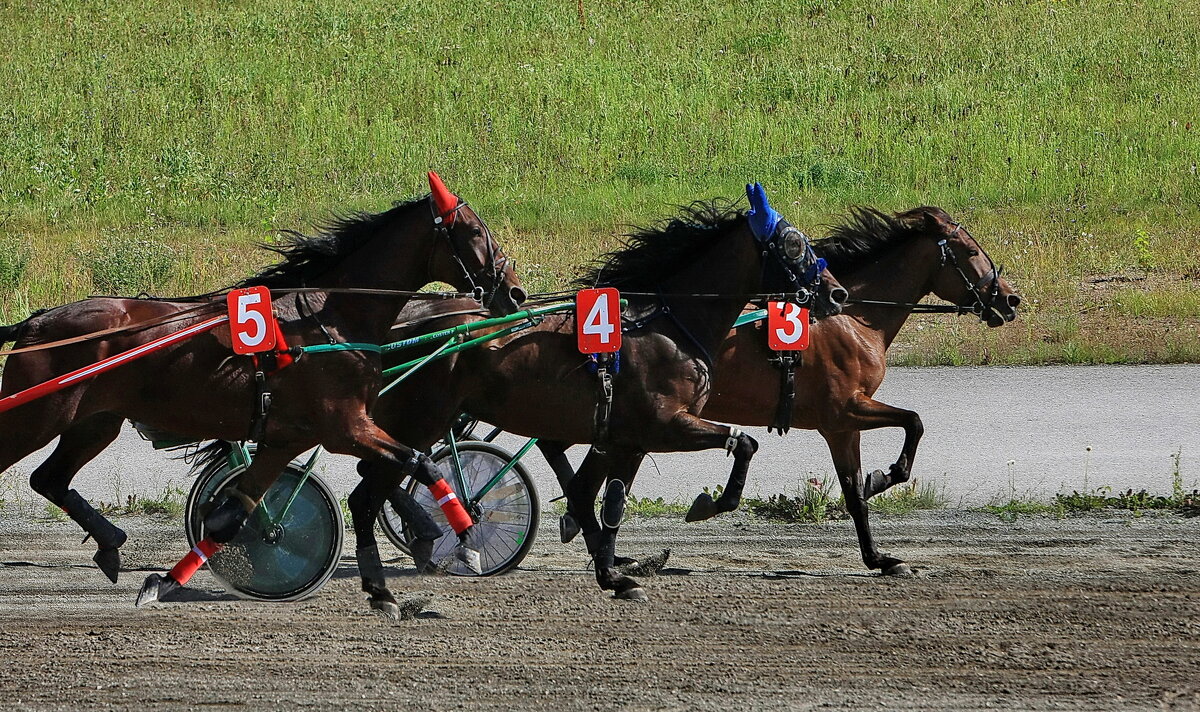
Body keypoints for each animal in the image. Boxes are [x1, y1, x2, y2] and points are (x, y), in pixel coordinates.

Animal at [0, 175, 525, 614]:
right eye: (474, 231)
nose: (515, 293)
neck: (328, 320)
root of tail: (34, 323)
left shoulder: (287, 438)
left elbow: (230, 517)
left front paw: (162, 582)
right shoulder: (345, 426)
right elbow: (419, 461)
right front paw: (458, 536)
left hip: (94, 423)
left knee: (49, 479)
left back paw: (110, 543)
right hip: (34, 415)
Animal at [360, 184, 849, 600]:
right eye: (792, 244)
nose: (837, 294)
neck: (667, 328)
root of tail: (412, 323)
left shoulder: (626, 439)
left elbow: (605, 502)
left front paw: (613, 572)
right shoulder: (665, 426)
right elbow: (744, 442)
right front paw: (707, 504)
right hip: (424, 415)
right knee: (383, 476)